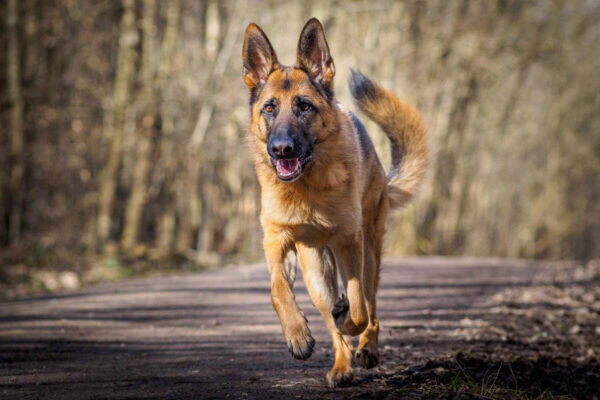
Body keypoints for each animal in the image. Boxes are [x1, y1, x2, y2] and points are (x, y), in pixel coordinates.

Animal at [241, 18, 428, 388]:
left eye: (304, 106)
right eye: (269, 107)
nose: (281, 149)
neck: (305, 189)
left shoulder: (349, 243)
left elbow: (357, 309)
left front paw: (349, 320)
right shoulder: (277, 239)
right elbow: (276, 289)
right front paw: (297, 336)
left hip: (368, 254)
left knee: (369, 308)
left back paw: (367, 348)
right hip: (317, 274)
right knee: (332, 320)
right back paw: (341, 366)